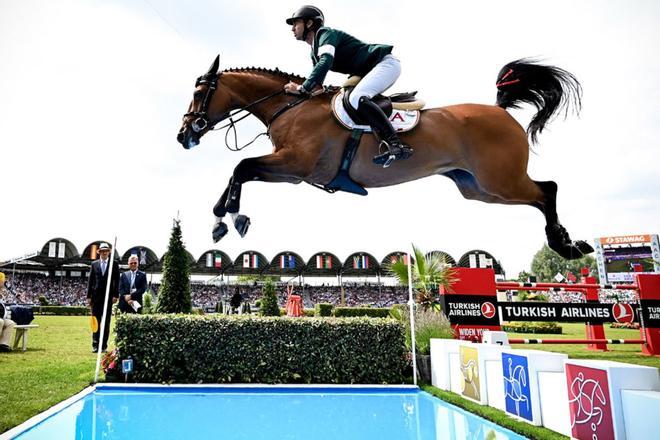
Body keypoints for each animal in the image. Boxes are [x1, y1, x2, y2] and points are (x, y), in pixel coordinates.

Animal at [175, 55, 592, 262]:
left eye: (199, 92)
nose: (183, 135)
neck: (291, 107)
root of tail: (499, 109)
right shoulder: (289, 168)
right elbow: (239, 172)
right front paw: (221, 219)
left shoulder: (295, 166)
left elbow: (242, 167)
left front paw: (234, 217)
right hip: (478, 189)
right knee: (541, 192)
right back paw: (569, 245)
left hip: (500, 181)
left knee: (547, 190)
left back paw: (567, 246)